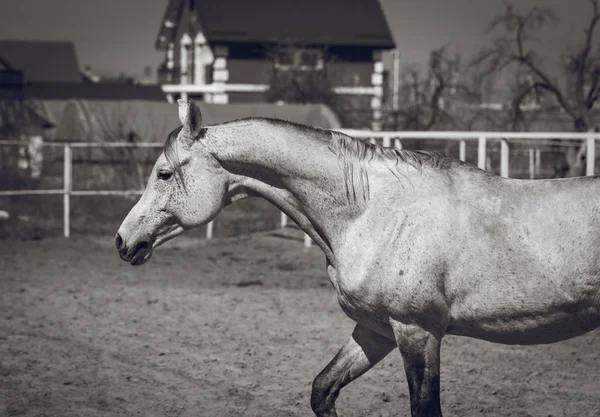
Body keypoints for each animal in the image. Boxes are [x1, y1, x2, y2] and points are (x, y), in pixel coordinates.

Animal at [117, 98, 600, 416]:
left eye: (164, 173)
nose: (124, 241)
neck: (374, 211)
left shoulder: (418, 332)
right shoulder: (377, 330)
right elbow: (322, 389)